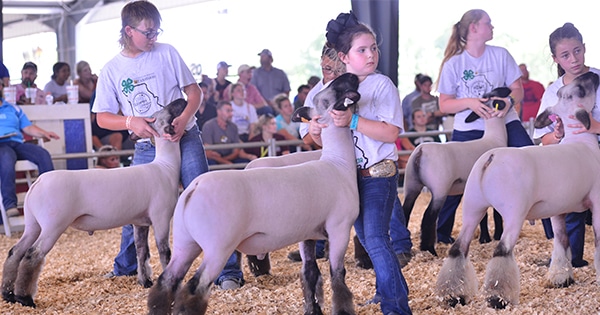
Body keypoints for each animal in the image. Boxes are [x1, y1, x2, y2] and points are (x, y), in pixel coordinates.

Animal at [0, 99, 188, 308]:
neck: (166, 167)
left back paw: (8, 294)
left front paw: (145, 282)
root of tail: (37, 183)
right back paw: (25, 299)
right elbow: (165, 252)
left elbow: (142, 252)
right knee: (32, 255)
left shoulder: (140, 221)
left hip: (33, 224)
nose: (182, 100)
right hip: (52, 225)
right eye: (167, 111)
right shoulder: (161, 216)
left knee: (15, 252)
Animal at [146, 72, 360, 315]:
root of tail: (194, 187)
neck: (338, 164)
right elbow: (338, 277)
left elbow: (310, 274)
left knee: (166, 283)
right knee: (193, 289)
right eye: (330, 94)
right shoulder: (340, 227)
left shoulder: (308, 233)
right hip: (218, 247)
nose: (352, 75)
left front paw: (313, 309)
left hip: (185, 243)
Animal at [400, 87, 508, 256]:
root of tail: (421, 150)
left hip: (411, 183)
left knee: (405, 212)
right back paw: (429, 249)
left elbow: (482, 216)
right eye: (496, 94)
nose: (512, 99)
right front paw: (497, 235)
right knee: (428, 217)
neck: (494, 138)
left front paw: (485, 238)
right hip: (439, 187)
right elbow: (496, 213)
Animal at [436, 70, 600, 310]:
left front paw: (561, 278)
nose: (592, 75)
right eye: (580, 90)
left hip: (472, 206)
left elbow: (561, 241)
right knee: (502, 250)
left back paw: (452, 296)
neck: (582, 141)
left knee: (458, 249)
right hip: (514, 211)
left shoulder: (557, 209)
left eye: (563, 92)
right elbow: (596, 240)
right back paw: (497, 299)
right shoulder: (597, 202)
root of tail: (491, 157)